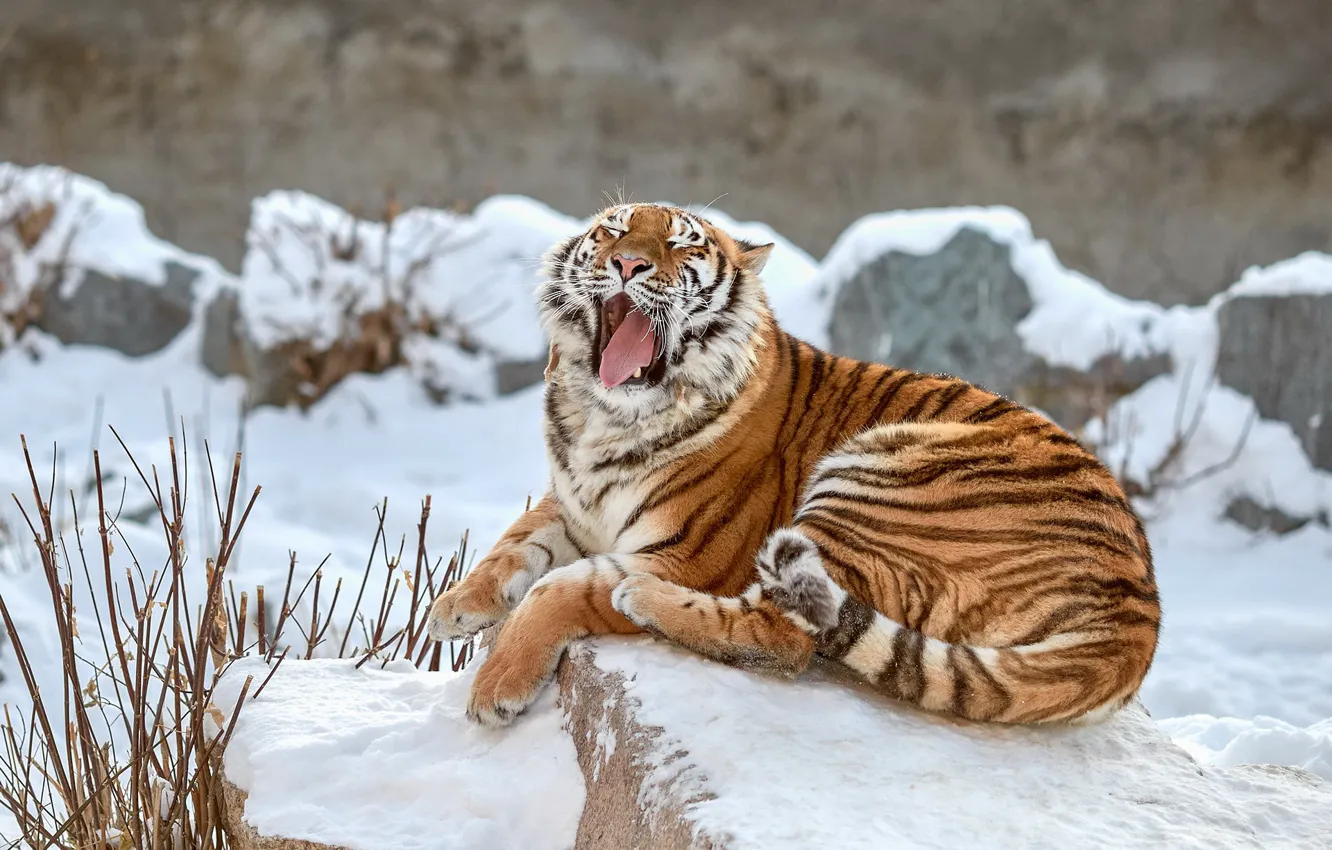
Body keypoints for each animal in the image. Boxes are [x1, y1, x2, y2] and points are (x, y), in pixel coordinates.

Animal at [427, 202, 1160, 728]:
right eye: (614, 230)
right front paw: (456, 606)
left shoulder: (692, 554)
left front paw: (497, 685)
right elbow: (517, 539)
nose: (629, 264)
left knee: (786, 633)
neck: (604, 416)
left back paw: (642, 599)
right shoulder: (575, 502)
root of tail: (1140, 612)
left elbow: (561, 587)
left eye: (684, 245)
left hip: (874, 478)